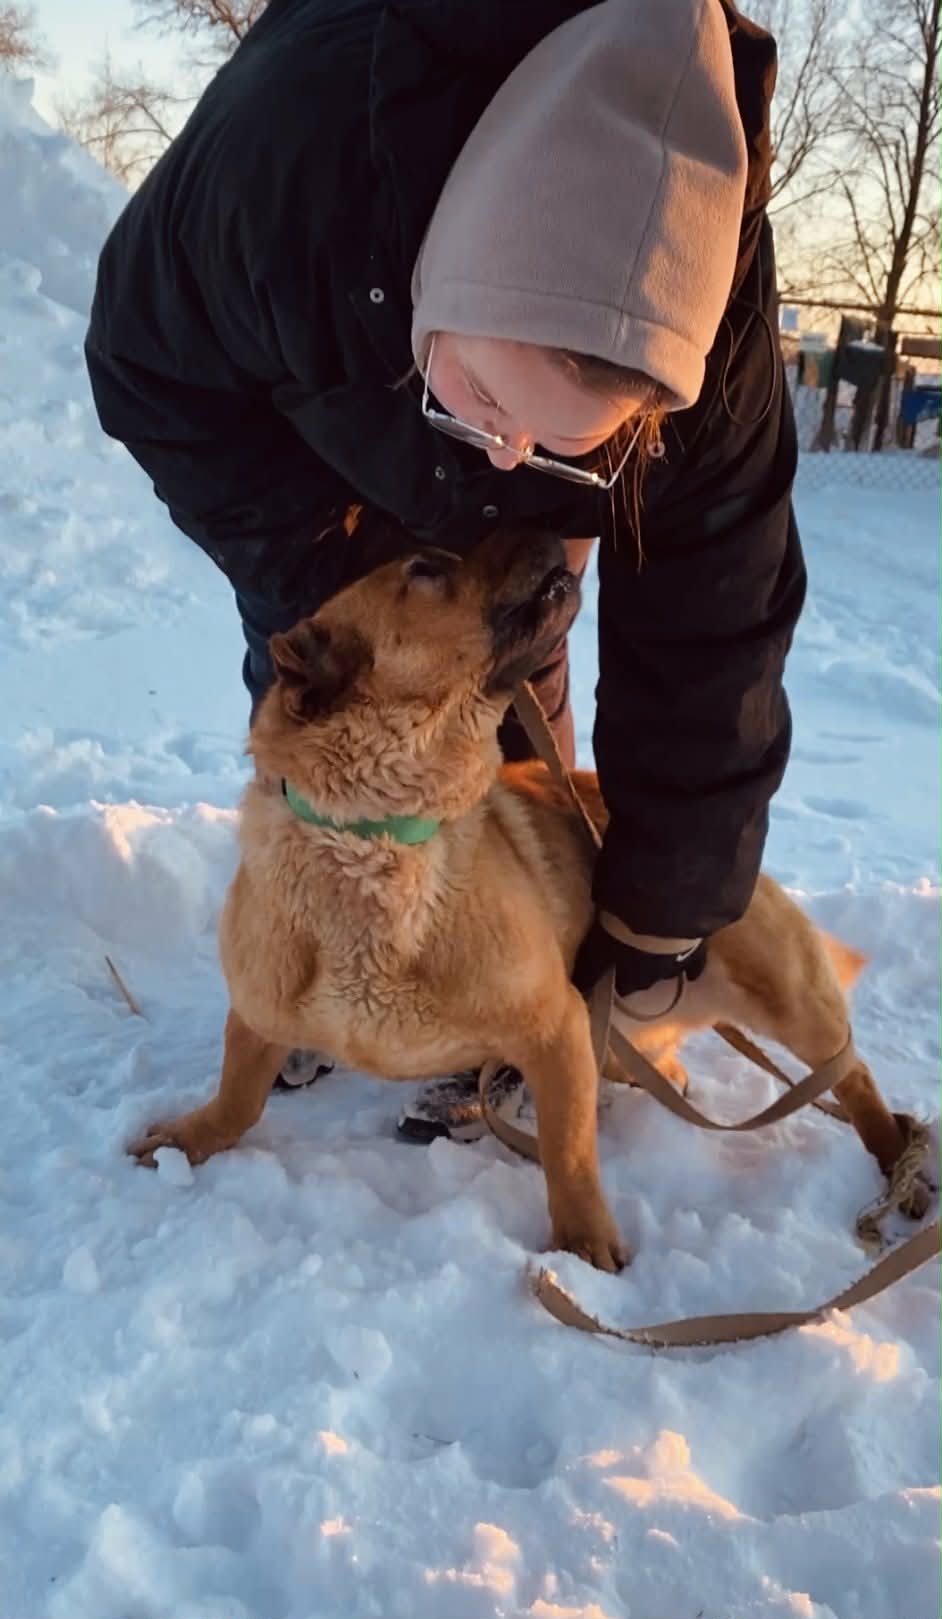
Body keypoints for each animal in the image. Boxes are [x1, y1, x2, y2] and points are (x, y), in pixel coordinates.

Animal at [130, 524, 925, 1270]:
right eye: (426, 568)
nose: (546, 527)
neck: (379, 844)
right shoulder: (257, 1015)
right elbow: (237, 1097)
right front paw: (189, 1139)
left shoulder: (558, 1028)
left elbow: (568, 1154)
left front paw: (583, 1244)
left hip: (785, 993)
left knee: (850, 1073)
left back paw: (897, 1161)